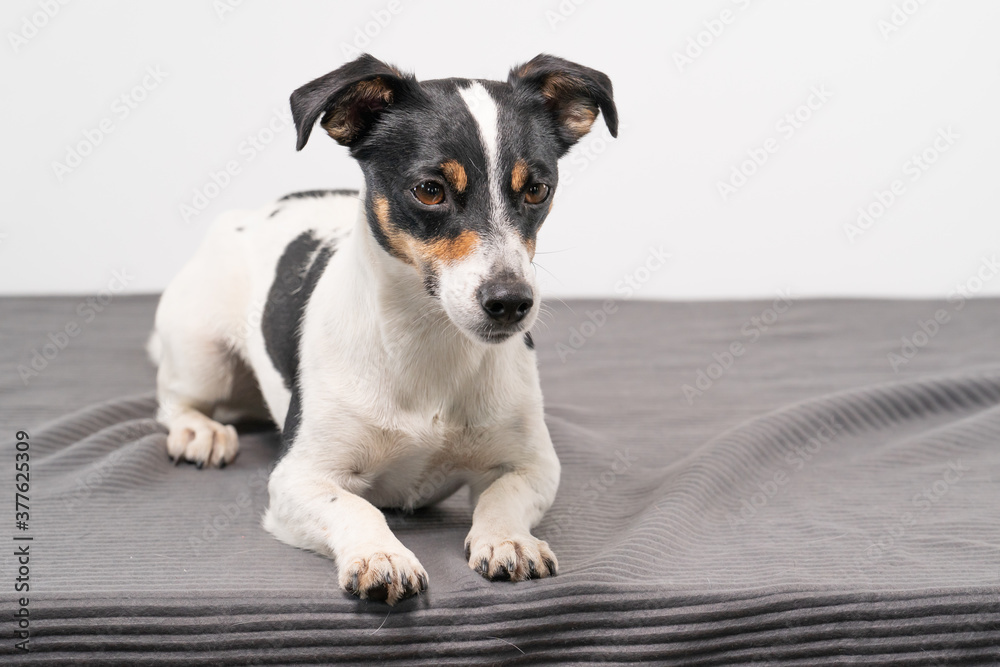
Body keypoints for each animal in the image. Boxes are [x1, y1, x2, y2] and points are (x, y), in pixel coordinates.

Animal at [148, 53, 616, 604]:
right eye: (430, 190)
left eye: (537, 190)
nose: (512, 302)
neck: (428, 343)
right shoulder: (297, 478)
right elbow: (355, 506)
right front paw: (382, 554)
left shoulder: (535, 465)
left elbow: (504, 495)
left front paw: (508, 539)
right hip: (201, 353)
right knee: (174, 400)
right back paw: (199, 431)